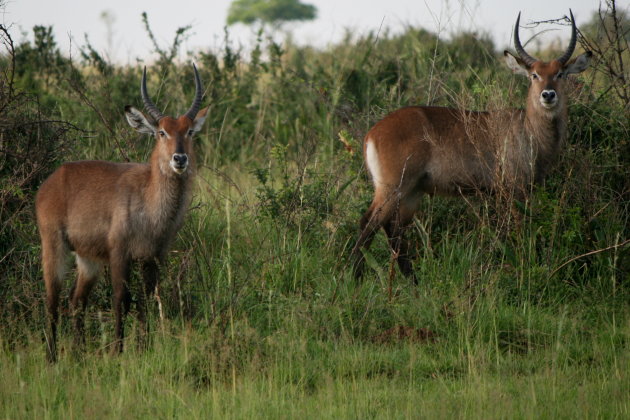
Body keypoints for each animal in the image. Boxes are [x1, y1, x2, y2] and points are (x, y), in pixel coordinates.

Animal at [36, 64, 210, 360]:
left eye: (189, 132)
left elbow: (145, 301)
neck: (151, 206)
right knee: (52, 300)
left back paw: (79, 354)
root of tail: (54, 178)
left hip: (88, 259)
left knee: (76, 300)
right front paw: (118, 352)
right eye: (161, 132)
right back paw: (52, 357)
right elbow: (121, 299)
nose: (179, 159)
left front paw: (143, 349)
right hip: (54, 245)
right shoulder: (120, 253)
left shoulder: (153, 257)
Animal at [354, 11, 596, 282]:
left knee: (393, 231)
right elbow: (520, 229)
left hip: (411, 193)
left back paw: (412, 283)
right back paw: (355, 278)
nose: (548, 95)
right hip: (393, 187)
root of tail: (372, 132)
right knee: (368, 224)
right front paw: (524, 266)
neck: (528, 129)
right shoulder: (514, 189)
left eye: (560, 73)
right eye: (534, 74)